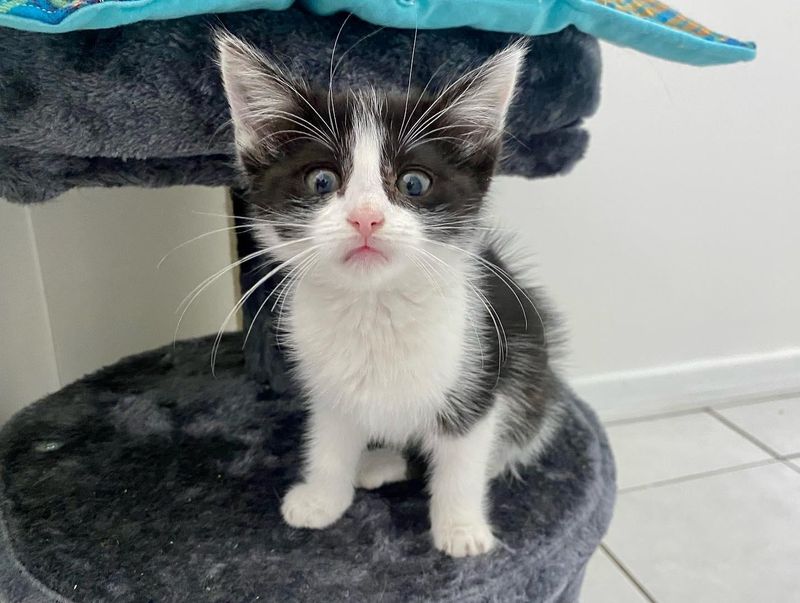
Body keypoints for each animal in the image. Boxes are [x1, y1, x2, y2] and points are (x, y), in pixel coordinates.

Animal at [219, 34, 564, 560]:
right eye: (322, 181)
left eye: (413, 183)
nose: (366, 217)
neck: (373, 306)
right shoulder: (328, 386)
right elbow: (330, 439)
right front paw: (323, 497)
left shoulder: (479, 369)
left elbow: (462, 456)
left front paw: (461, 527)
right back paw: (380, 461)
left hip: (532, 374)